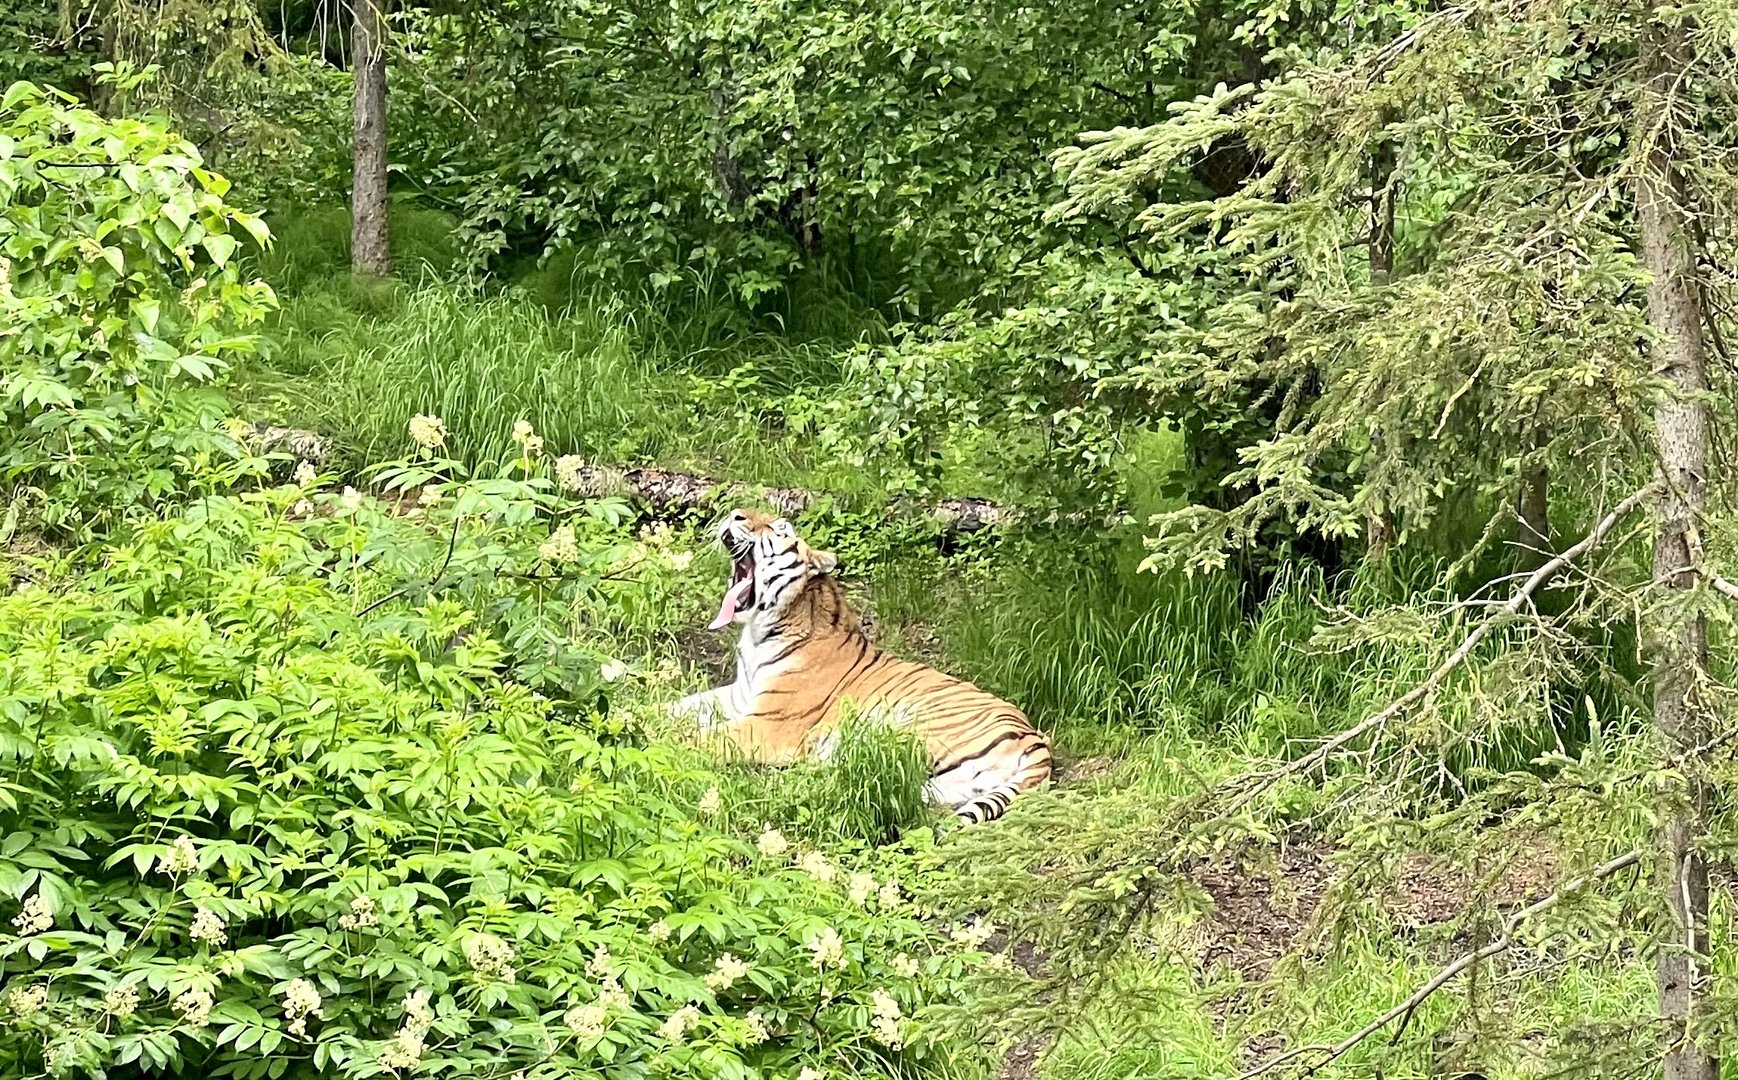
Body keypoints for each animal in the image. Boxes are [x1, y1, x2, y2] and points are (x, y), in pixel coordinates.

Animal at [670, 508, 1052, 824]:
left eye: (779, 530)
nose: (734, 514)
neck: (757, 633)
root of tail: (1035, 737)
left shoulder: (768, 723)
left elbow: (703, 737)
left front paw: (662, 741)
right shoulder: (738, 696)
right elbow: (676, 707)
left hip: (907, 725)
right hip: (945, 785)